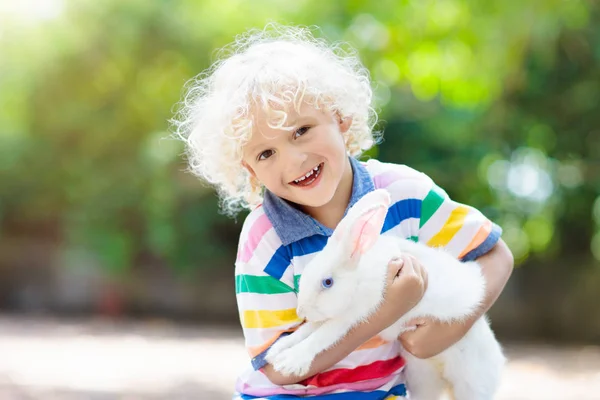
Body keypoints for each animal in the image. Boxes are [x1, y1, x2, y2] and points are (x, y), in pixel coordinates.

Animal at [268, 189, 506, 398]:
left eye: (327, 282)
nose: (301, 311)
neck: (358, 277)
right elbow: (305, 331)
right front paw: (275, 352)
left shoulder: (350, 317)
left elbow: (322, 337)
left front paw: (290, 362)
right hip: (422, 379)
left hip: (471, 383)